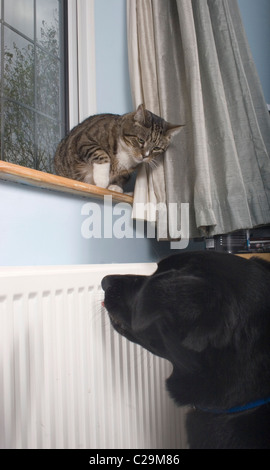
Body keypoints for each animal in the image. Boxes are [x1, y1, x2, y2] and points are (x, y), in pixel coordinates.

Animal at [53, 103, 182, 192]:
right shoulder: (85, 139)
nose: (145, 156)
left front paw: (115, 187)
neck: (126, 153)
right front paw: (102, 180)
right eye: (141, 140)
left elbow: (123, 176)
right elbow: (100, 153)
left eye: (156, 148)